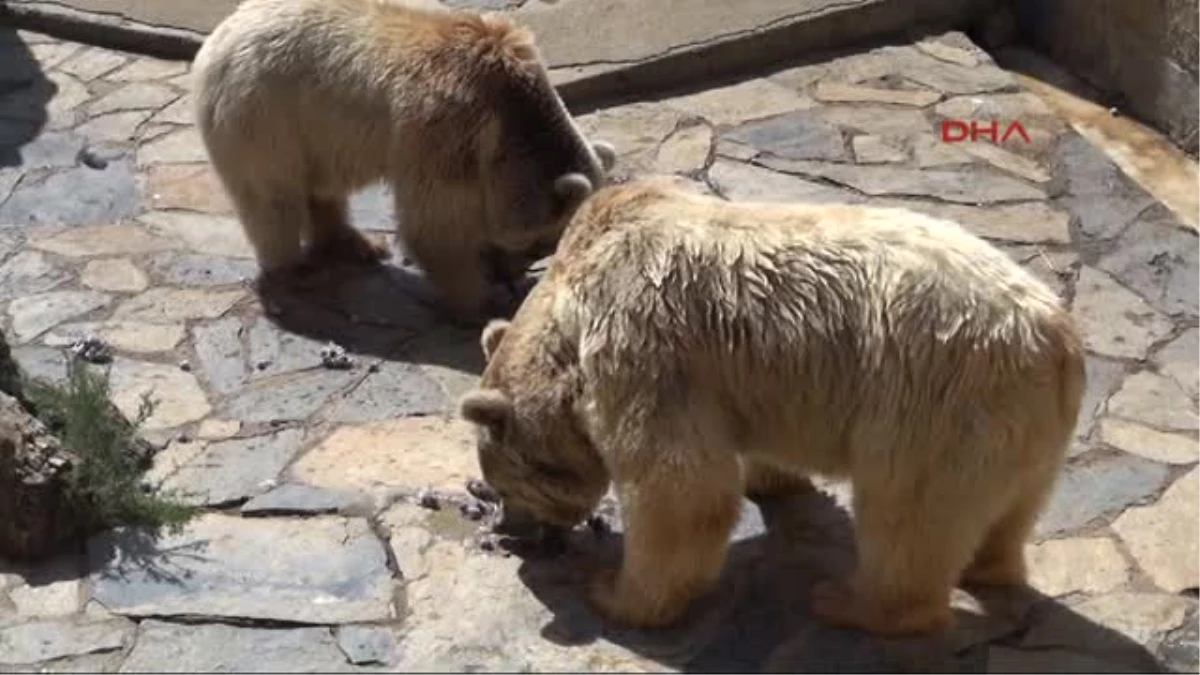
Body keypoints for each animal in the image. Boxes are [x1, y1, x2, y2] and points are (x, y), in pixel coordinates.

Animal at [194, 0, 619, 321]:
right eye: (541, 243)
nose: (511, 276)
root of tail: (218, 37)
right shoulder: (446, 131)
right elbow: (437, 224)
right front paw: (480, 299)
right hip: (265, 115)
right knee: (273, 198)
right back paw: (293, 271)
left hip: (316, 132)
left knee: (323, 187)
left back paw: (355, 244)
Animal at [456, 176, 1089, 634]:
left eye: (508, 485)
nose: (513, 532)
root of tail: (1055, 338)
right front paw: (772, 479)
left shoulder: (638, 339)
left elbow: (679, 487)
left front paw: (615, 594)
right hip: (1025, 430)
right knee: (1009, 508)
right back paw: (988, 565)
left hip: (938, 405)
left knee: (906, 515)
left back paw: (851, 602)